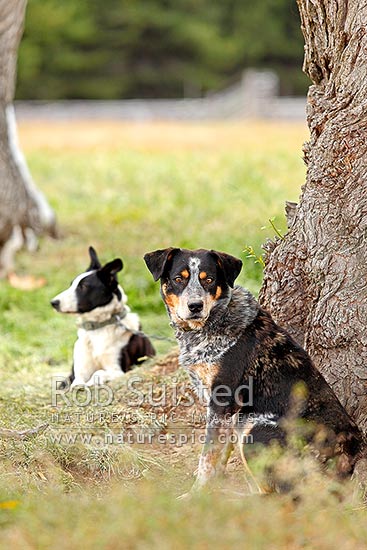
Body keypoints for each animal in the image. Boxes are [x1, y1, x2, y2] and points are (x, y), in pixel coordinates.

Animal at [51, 248, 155, 386]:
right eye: (71, 284)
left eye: (83, 287)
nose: (53, 302)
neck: (98, 328)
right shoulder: (76, 373)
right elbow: (76, 381)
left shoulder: (119, 370)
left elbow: (99, 372)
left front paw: (91, 382)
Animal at [145, 249, 366, 496]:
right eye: (178, 279)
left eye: (209, 279)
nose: (195, 306)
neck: (213, 322)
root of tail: (348, 458)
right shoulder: (225, 410)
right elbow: (220, 453)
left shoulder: (222, 401)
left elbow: (208, 456)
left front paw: (196, 494)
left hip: (255, 429)